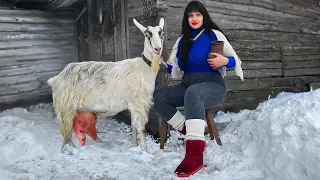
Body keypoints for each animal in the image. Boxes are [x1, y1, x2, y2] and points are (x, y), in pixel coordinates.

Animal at [47, 17, 165, 152]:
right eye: (147, 34)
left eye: (162, 33)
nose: (157, 49)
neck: (144, 67)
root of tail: (55, 79)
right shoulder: (138, 102)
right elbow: (141, 128)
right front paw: (145, 151)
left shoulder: (132, 104)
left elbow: (133, 126)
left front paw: (134, 145)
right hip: (65, 107)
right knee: (66, 133)